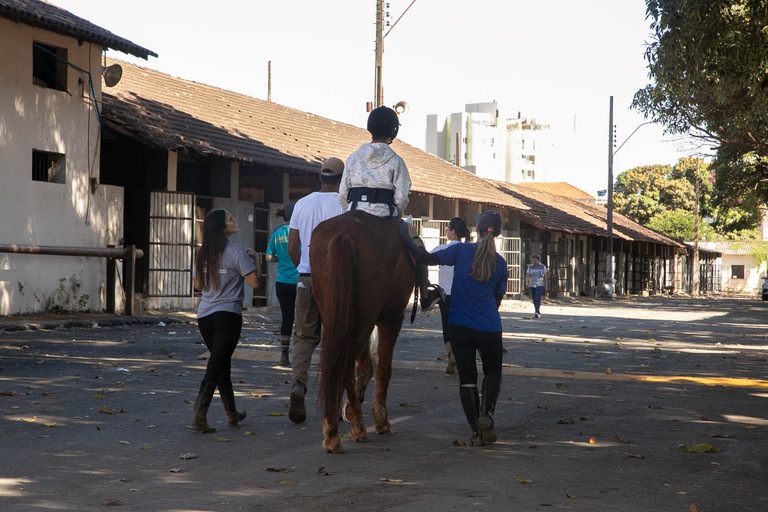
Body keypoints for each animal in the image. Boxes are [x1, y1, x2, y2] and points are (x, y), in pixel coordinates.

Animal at [310, 210, 416, 453]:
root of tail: (344, 234)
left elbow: (366, 366)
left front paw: (351, 407)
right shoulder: (391, 319)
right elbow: (382, 369)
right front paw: (381, 420)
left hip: (338, 314)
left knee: (342, 364)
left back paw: (336, 425)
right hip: (367, 315)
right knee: (347, 363)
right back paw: (350, 429)